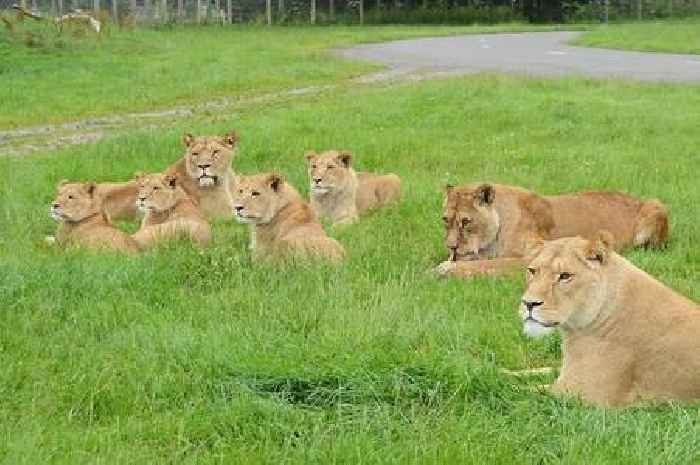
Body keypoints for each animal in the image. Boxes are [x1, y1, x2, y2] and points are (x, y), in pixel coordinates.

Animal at [434, 181, 668, 276]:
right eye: (445, 219)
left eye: (466, 222)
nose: (451, 247)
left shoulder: (532, 257)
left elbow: (487, 265)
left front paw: (445, 269)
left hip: (656, 205)